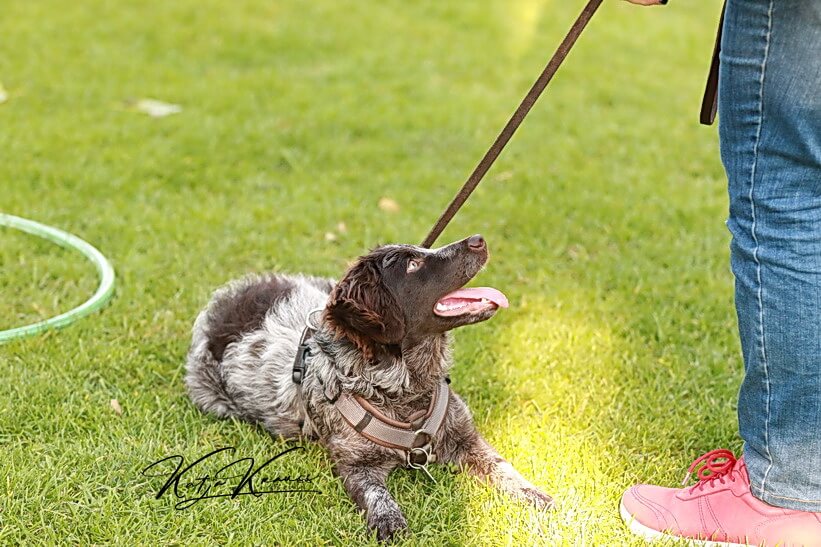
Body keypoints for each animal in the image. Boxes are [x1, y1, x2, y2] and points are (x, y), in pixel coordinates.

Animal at [186, 233, 556, 540]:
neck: (406, 388)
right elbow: (376, 495)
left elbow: (503, 468)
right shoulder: (353, 465)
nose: (478, 238)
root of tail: (230, 295)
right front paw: (389, 521)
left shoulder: (466, 438)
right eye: (412, 264)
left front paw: (536, 497)